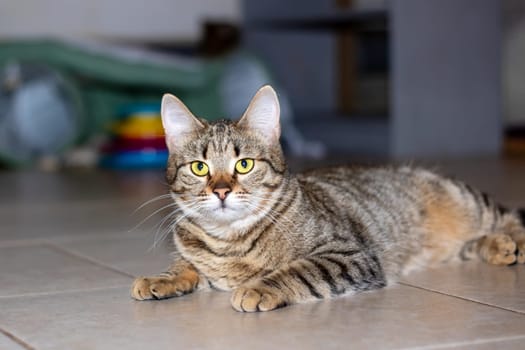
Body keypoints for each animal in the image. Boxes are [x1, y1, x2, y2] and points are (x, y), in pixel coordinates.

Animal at [130, 85, 524, 312]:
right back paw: (497, 247)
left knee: (510, 216)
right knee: (471, 245)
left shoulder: (350, 255)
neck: (230, 242)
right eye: (199, 167)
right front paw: (162, 278)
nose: (221, 190)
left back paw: (512, 241)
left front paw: (258, 287)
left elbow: (299, 269)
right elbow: (185, 264)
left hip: (467, 200)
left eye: (244, 164)